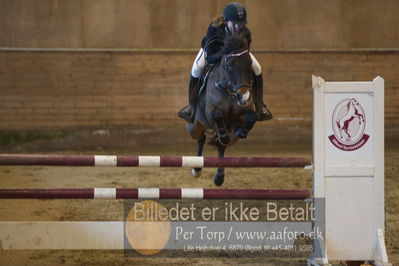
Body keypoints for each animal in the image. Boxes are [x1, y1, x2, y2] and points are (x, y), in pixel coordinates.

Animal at [187, 33, 258, 187]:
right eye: (229, 65)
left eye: (249, 63)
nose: (244, 96)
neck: (229, 91)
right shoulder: (210, 112)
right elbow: (217, 114)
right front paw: (224, 135)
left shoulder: (242, 113)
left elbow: (251, 117)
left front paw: (241, 131)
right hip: (194, 126)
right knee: (201, 137)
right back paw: (196, 169)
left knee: (221, 146)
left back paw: (219, 177)